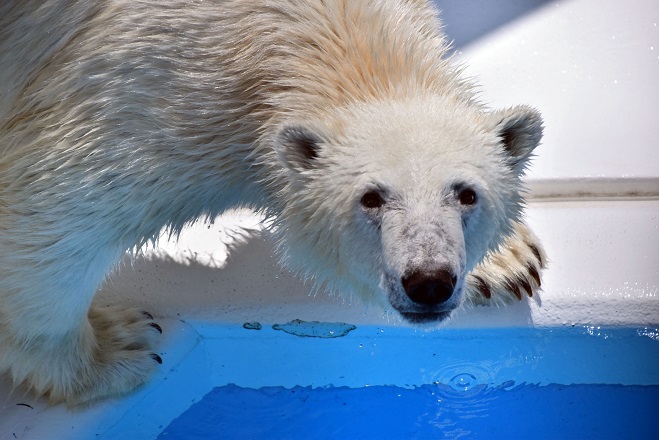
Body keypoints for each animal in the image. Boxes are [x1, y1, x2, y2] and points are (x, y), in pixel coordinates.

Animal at [0, 0, 548, 406]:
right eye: (370, 198)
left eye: (467, 194)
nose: (428, 281)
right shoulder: (143, 86)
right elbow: (49, 205)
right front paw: (115, 349)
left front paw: (507, 262)